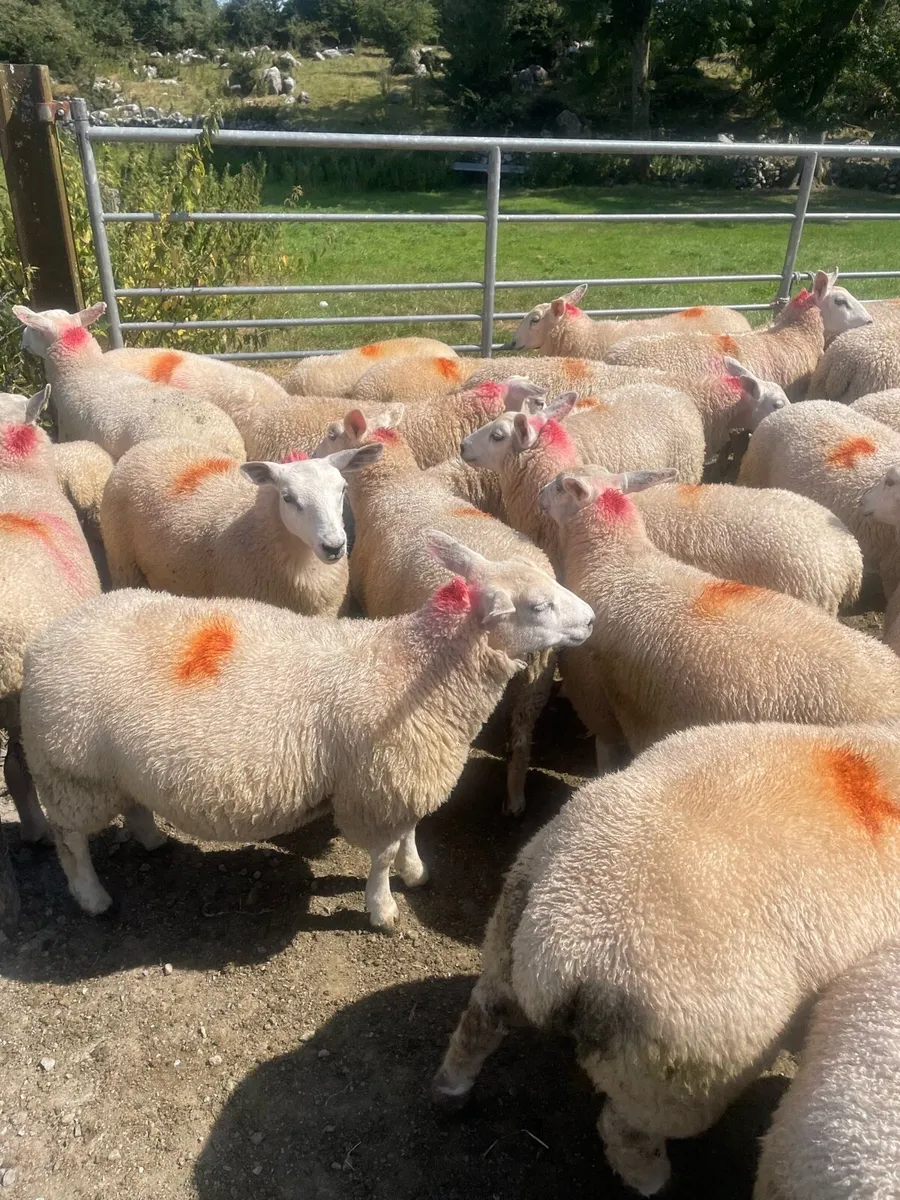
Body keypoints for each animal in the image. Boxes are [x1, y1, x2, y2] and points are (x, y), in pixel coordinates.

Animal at [20, 533, 593, 928]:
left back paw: (151, 839)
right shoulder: (376, 787)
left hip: (109, 771)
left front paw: (416, 872)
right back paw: (92, 898)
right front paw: (383, 909)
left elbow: (410, 832)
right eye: (539, 606)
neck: (414, 666)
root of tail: (44, 643)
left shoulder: (403, 777)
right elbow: (381, 856)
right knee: (70, 840)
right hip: (71, 771)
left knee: (133, 803)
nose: (590, 619)